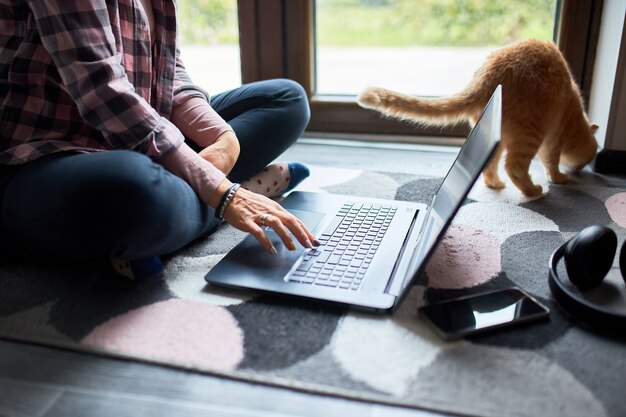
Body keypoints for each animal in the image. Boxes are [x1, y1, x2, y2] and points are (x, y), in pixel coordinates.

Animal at [356, 39, 596, 195]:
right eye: (587, 160)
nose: (581, 170)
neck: (575, 116)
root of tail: (490, 72)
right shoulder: (554, 137)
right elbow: (551, 163)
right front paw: (559, 178)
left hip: (493, 135)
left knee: (490, 167)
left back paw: (496, 184)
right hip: (531, 133)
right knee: (514, 166)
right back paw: (533, 191)